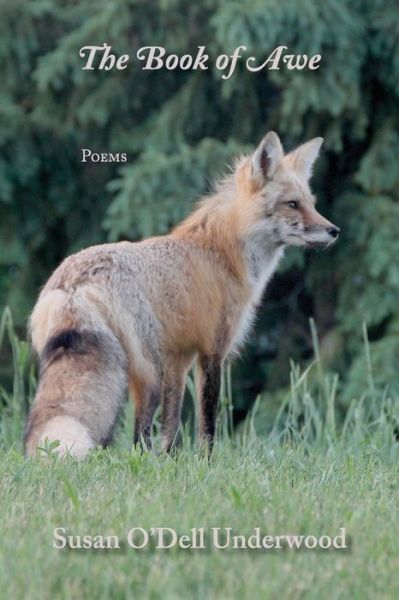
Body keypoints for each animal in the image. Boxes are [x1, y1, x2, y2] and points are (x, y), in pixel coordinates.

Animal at [23, 131, 340, 458]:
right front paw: (206, 462)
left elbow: (172, 425)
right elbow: (207, 423)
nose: (334, 231)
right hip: (149, 373)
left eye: (311, 204)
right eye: (292, 204)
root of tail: (72, 284)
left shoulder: (179, 358)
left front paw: (173, 462)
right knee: (139, 438)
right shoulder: (212, 350)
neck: (223, 255)